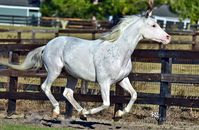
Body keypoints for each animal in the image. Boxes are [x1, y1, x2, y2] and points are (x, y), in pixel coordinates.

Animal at [0, 15, 170, 120]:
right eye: (153, 25)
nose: (168, 37)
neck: (117, 51)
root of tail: (47, 45)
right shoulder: (104, 82)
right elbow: (106, 103)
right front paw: (91, 111)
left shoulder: (122, 80)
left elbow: (134, 95)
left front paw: (119, 114)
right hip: (54, 71)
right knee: (45, 87)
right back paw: (57, 112)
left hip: (72, 76)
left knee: (67, 93)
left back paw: (81, 113)